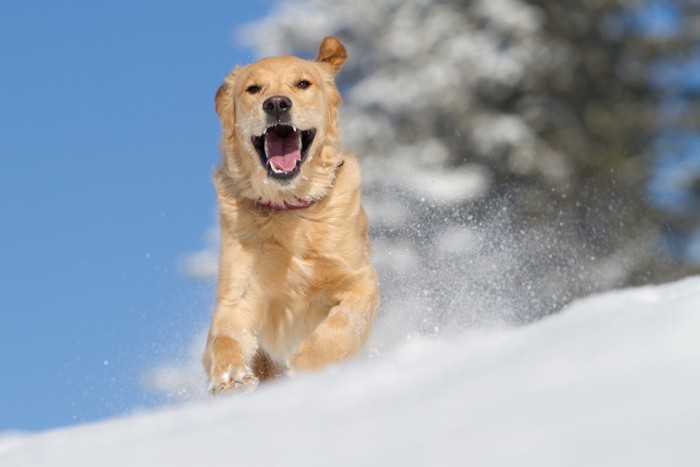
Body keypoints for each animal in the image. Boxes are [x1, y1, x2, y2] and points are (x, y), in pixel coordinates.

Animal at [200, 37, 380, 394]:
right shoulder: (238, 294)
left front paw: (308, 369)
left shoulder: (360, 281)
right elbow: (225, 336)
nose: (277, 104)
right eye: (253, 89)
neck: (289, 210)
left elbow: (341, 326)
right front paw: (230, 377)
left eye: (303, 84)